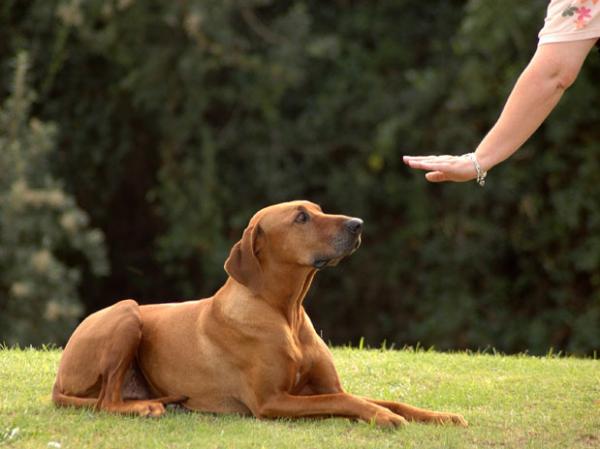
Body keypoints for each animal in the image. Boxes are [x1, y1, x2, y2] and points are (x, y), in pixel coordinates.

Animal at [52, 200, 464, 428]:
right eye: (301, 218)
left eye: (319, 209)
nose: (357, 224)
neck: (286, 313)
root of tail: (58, 378)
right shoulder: (271, 401)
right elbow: (345, 402)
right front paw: (384, 418)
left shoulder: (327, 386)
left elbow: (384, 399)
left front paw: (440, 416)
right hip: (127, 312)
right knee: (106, 402)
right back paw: (145, 408)